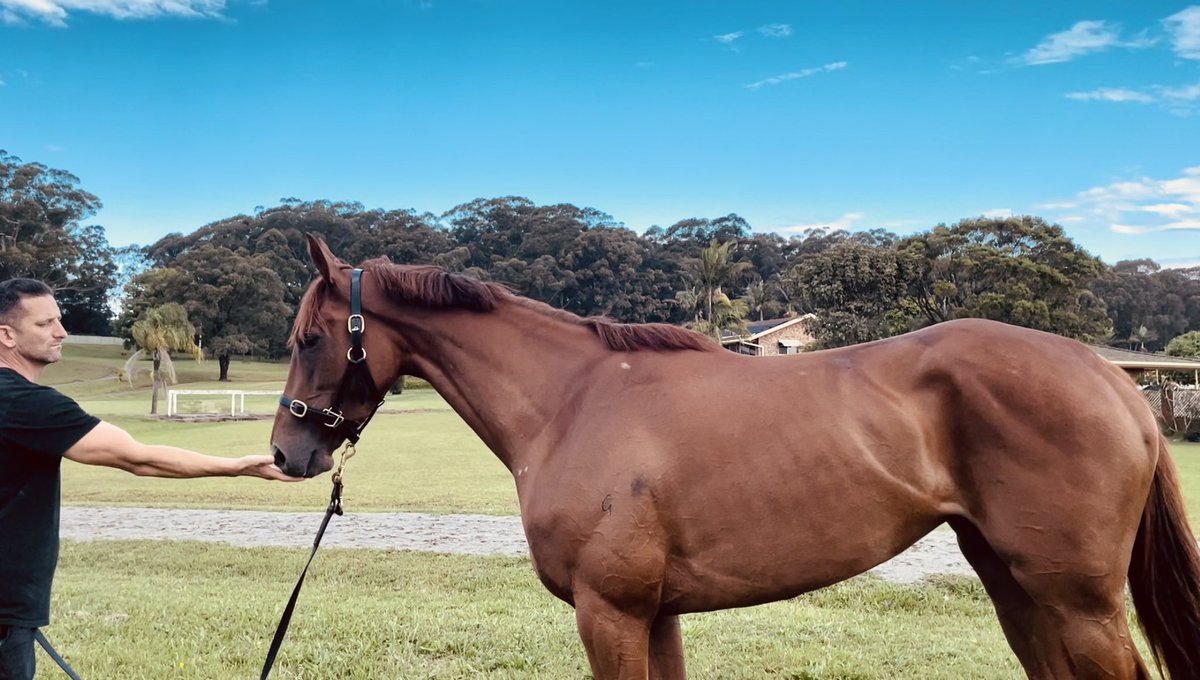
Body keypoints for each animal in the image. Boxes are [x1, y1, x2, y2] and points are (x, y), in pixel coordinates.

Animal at [270, 234, 1200, 679]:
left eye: (310, 338)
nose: (287, 449)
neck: (573, 398)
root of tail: (1109, 378)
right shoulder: (653, 614)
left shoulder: (609, 613)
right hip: (1019, 591)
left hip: (1079, 604)